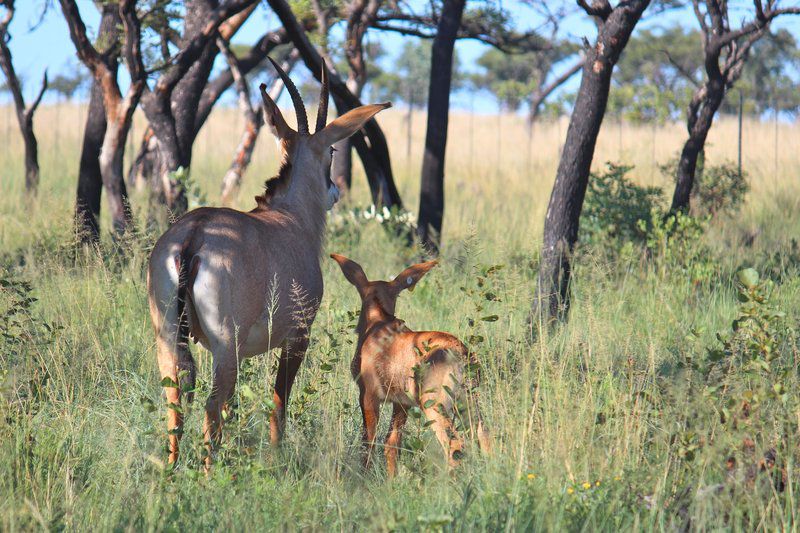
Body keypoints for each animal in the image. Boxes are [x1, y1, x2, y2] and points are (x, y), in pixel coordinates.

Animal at [148, 60, 392, 464]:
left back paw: (171, 468)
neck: (289, 215)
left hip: (168, 338)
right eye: (331, 151)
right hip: (224, 347)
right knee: (210, 407)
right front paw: (277, 456)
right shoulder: (297, 337)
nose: (334, 192)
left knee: (176, 400)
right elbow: (279, 400)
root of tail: (194, 235)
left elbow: (234, 408)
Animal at [330, 251, 488, 476]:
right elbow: (392, 442)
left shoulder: (368, 396)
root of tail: (461, 353)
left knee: (455, 447)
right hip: (469, 403)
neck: (379, 324)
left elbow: (368, 442)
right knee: (484, 437)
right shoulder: (401, 403)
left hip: (435, 406)